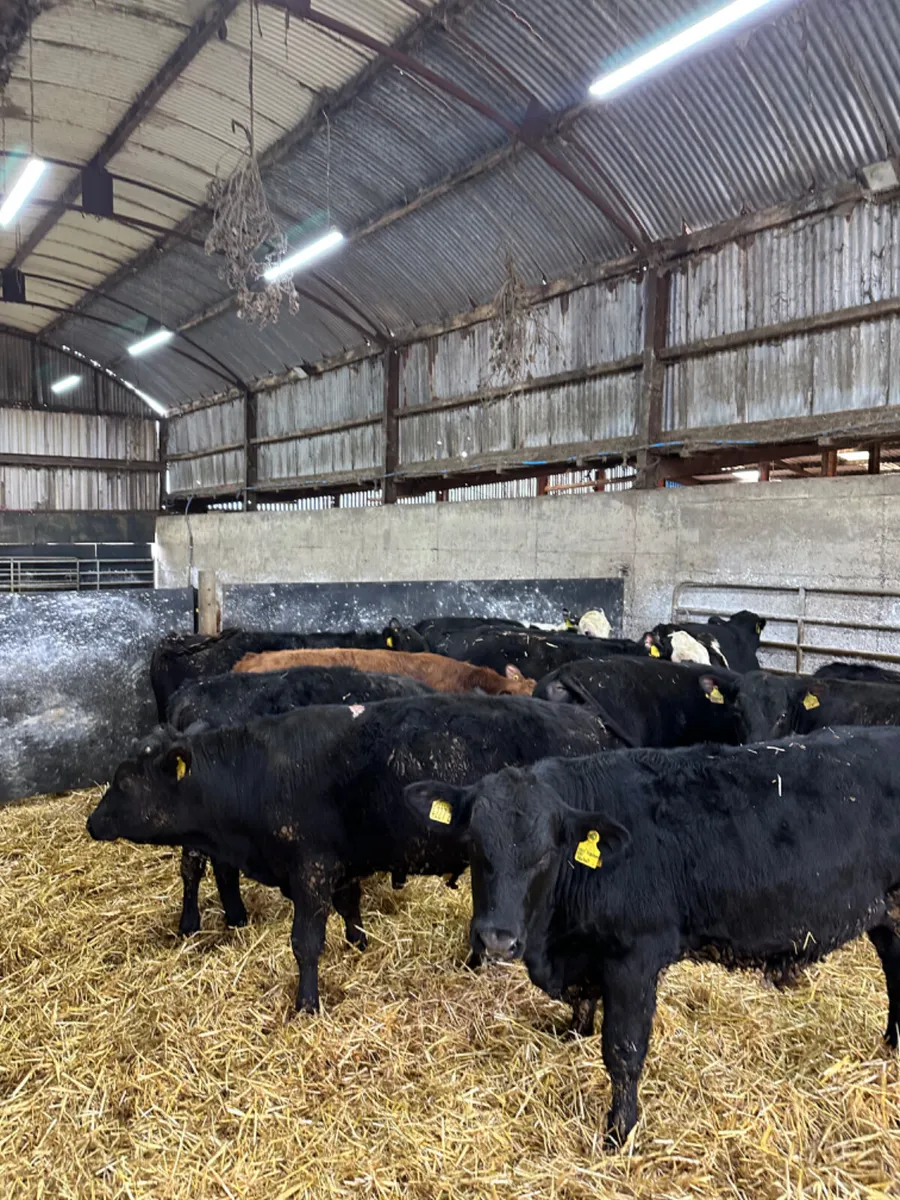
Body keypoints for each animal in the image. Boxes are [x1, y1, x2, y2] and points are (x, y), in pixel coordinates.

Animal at [86, 695, 618, 1013]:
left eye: (125, 781)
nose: (92, 822)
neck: (259, 773)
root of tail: (589, 723)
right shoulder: (339, 865)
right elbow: (351, 906)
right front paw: (359, 943)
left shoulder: (311, 870)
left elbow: (305, 943)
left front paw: (307, 1004)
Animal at [405, 726, 900, 1148]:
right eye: (473, 842)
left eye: (546, 854)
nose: (496, 940)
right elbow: (585, 1009)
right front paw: (573, 1033)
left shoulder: (634, 958)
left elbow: (623, 1051)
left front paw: (618, 1133)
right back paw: (891, 1043)